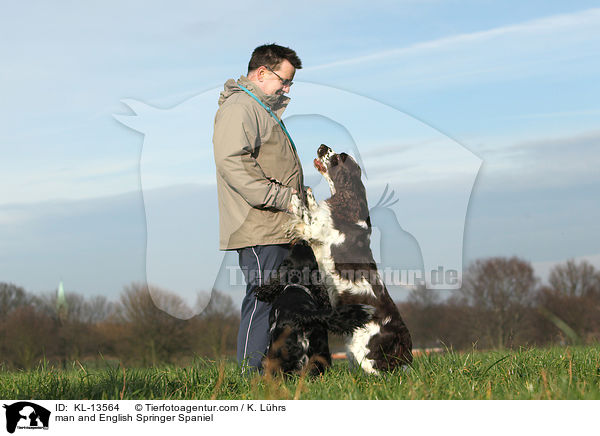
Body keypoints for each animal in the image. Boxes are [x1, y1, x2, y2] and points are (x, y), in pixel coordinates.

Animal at [288, 144, 412, 374]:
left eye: (338, 158)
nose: (322, 147)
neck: (349, 204)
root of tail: (402, 340)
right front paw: (306, 194)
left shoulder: (314, 231)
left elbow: (303, 213)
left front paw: (297, 196)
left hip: (365, 349)